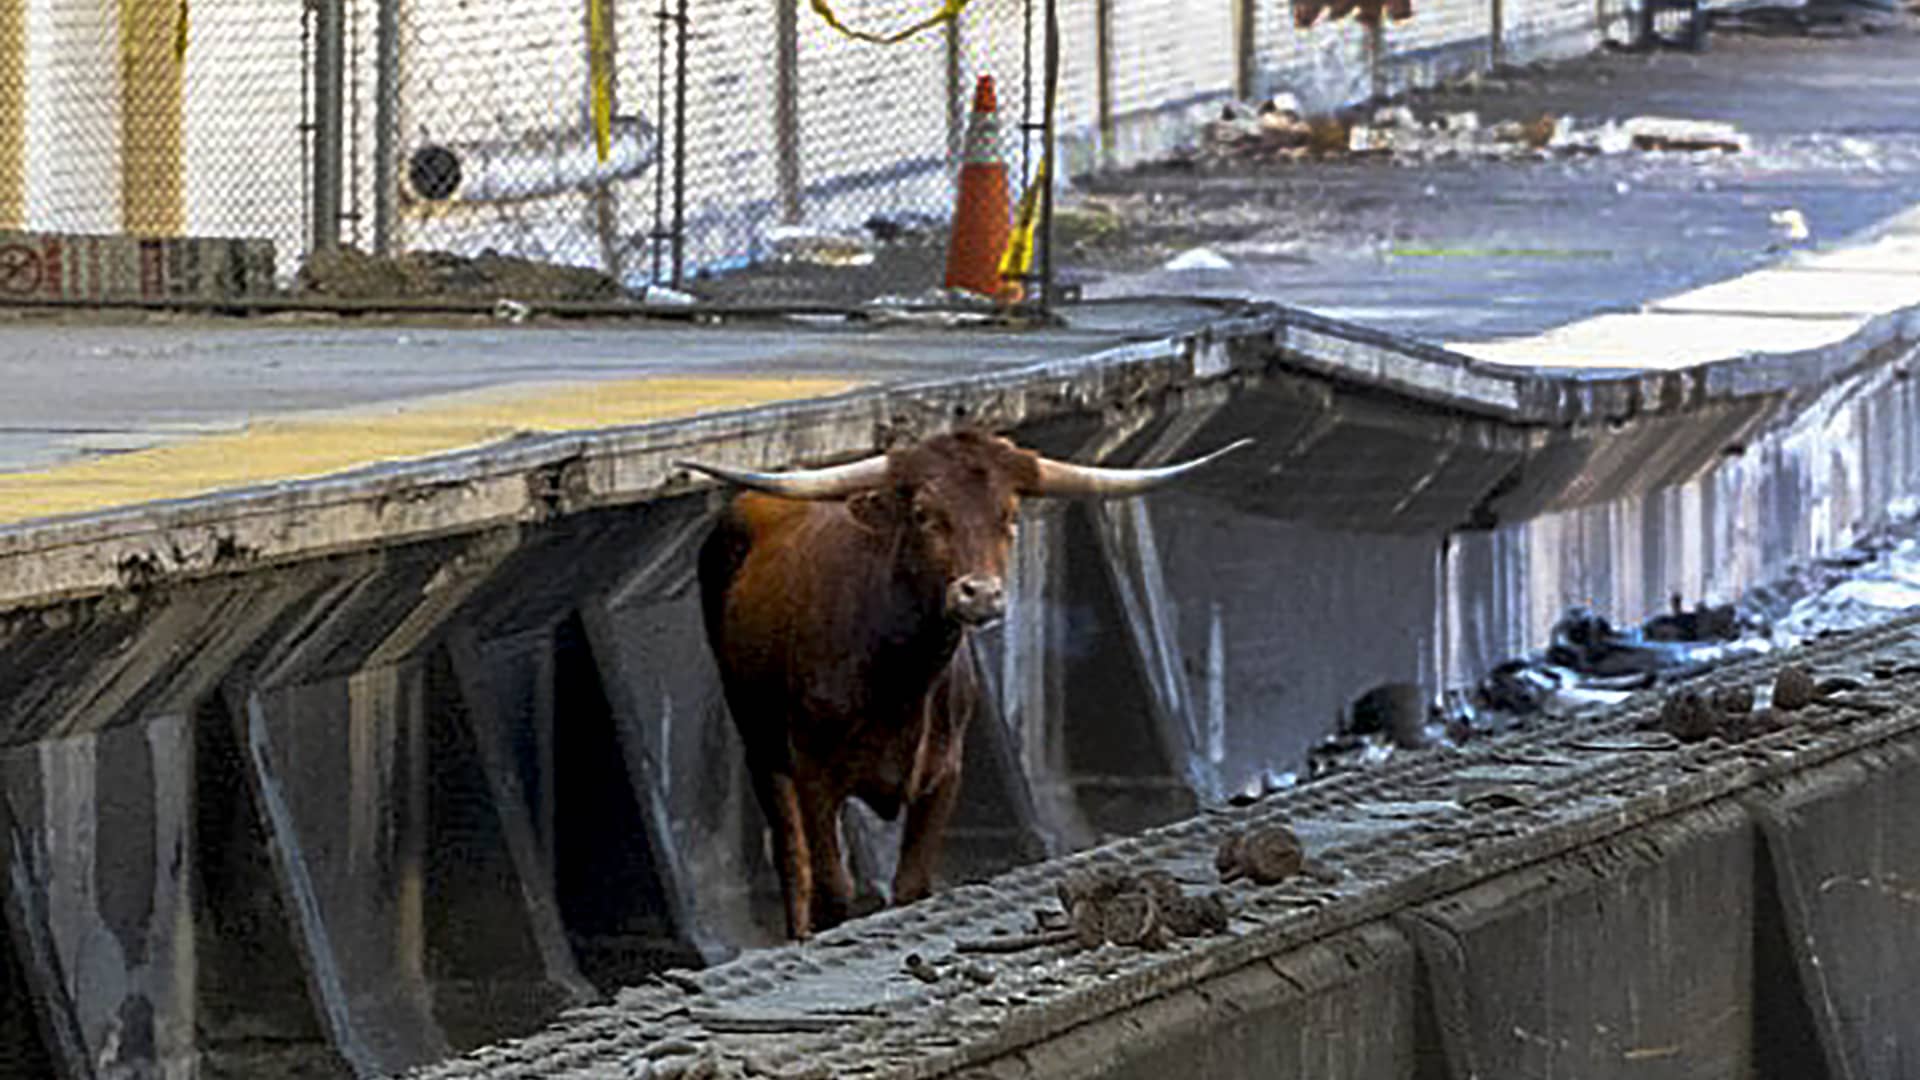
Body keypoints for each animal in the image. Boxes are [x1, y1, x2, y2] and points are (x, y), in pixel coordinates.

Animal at [683, 426, 1251, 933]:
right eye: (924, 515)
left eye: (1010, 515)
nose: (980, 594)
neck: (897, 680)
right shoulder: (814, 771)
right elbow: (832, 891)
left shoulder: (943, 774)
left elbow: (911, 887)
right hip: (761, 746)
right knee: (792, 859)